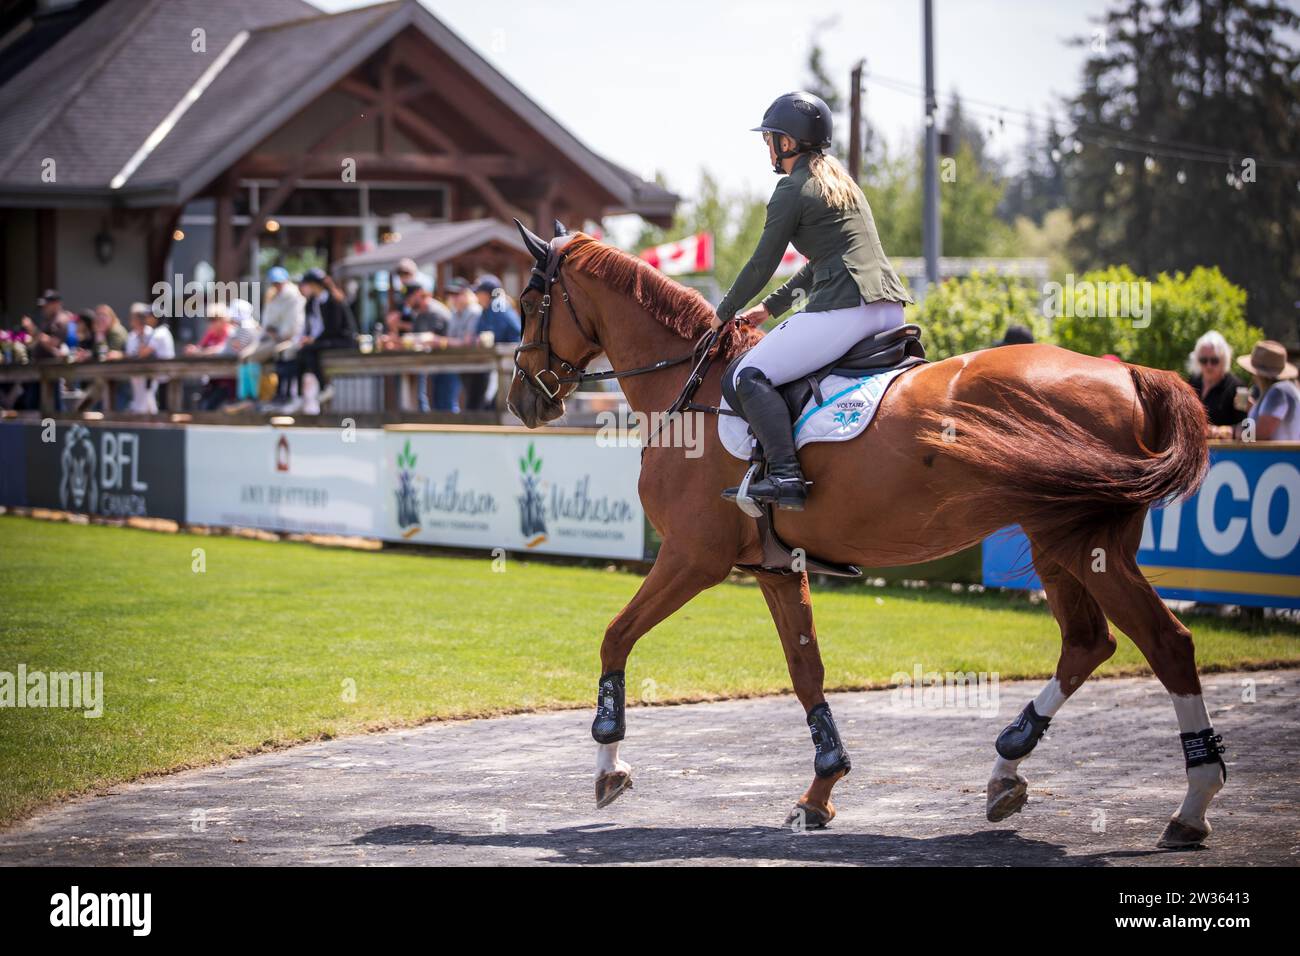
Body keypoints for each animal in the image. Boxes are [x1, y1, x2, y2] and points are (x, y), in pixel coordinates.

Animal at [501, 226, 1222, 853]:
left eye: (529, 303)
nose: (522, 400)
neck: (692, 386)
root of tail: (1128, 374)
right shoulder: (774, 567)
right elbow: (806, 671)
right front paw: (821, 788)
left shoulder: (692, 557)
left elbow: (616, 635)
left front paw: (608, 762)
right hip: (1057, 542)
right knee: (1088, 642)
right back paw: (1007, 769)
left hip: (1080, 545)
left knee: (1166, 643)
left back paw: (1191, 806)